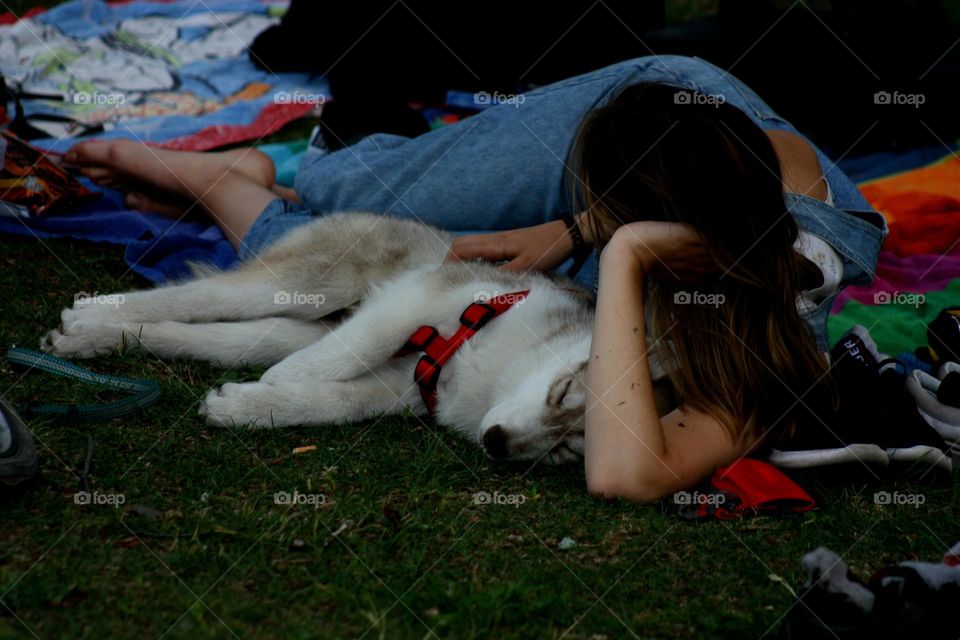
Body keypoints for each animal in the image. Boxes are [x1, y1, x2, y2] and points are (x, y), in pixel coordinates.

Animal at [43, 212, 668, 462]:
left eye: (566, 451)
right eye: (562, 393)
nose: (495, 444)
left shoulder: (404, 385)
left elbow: (334, 401)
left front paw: (250, 405)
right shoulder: (422, 297)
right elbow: (351, 351)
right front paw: (276, 386)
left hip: (293, 322)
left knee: (221, 337)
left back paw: (89, 340)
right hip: (310, 285)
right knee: (204, 297)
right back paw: (90, 313)